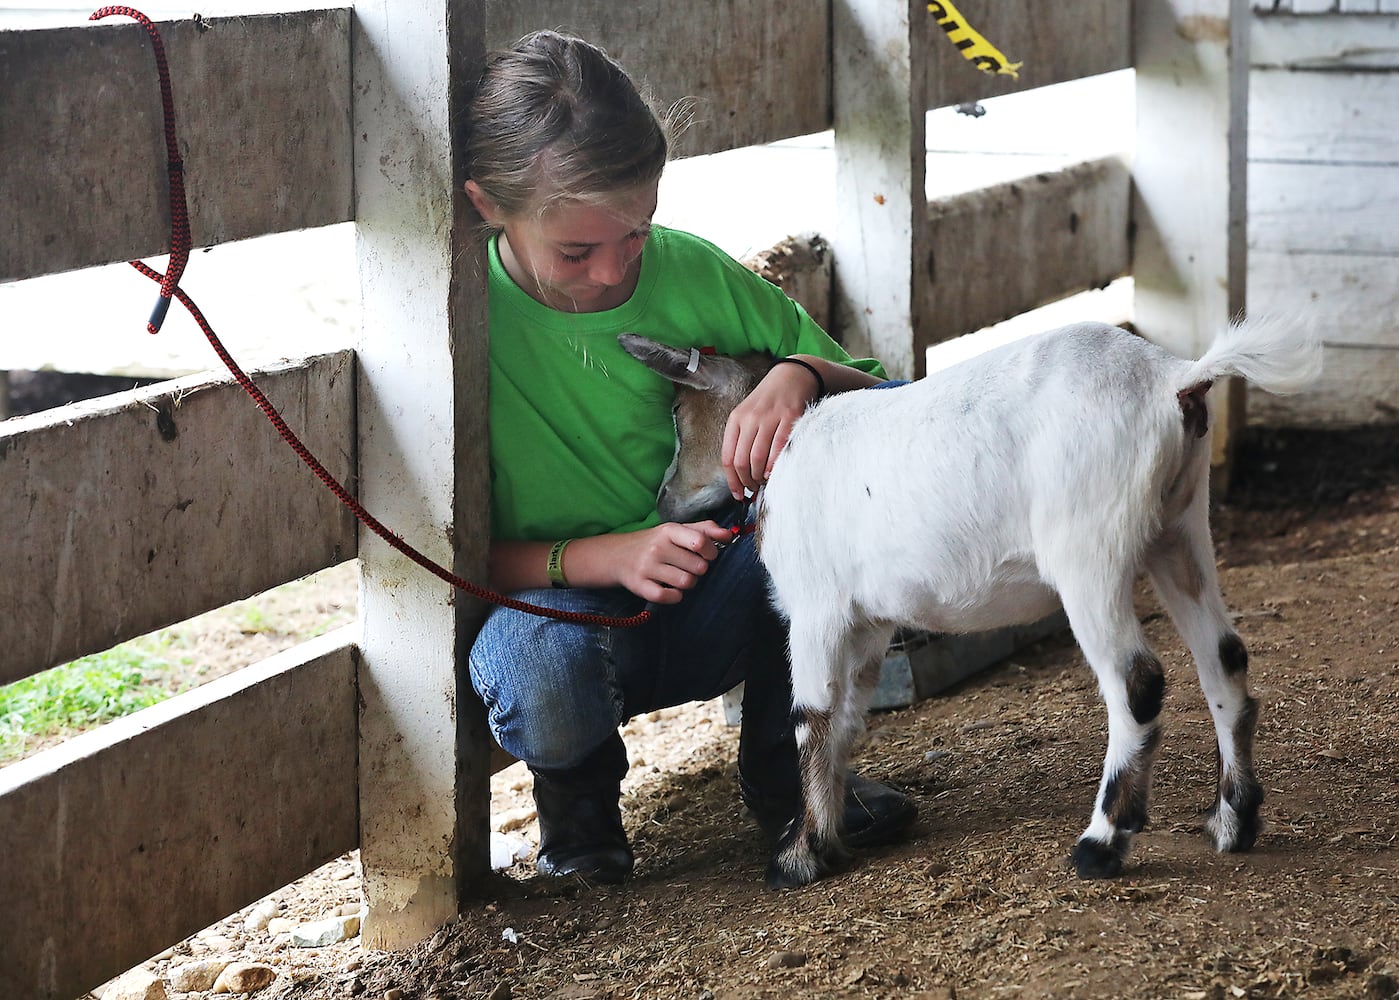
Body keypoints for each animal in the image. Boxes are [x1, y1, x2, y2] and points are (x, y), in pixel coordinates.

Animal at [623, 317, 1320, 889]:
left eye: (680, 414)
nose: (663, 501)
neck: (786, 445)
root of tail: (1174, 378)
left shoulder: (816, 606)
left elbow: (811, 715)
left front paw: (800, 856)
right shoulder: (870, 622)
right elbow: (847, 718)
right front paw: (837, 832)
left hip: (1088, 545)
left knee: (1138, 681)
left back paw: (1101, 845)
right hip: (1179, 527)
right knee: (1224, 657)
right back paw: (1233, 821)